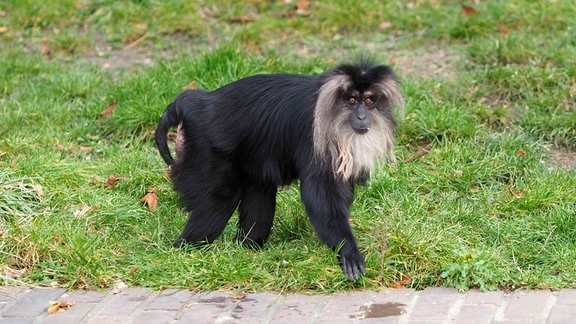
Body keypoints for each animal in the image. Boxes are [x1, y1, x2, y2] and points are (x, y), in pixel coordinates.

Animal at [155, 58, 402, 280]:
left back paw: (247, 248)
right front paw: (347, 251)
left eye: (368, 101)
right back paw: (185, 249)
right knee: (218, 202)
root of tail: (196, 103)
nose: (362, 116)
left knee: (260, 191)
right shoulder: (314, 137)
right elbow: (319, 196)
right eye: (351, 100)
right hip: (205, 148)